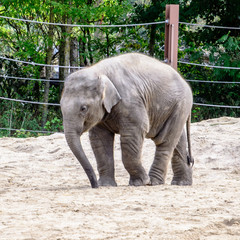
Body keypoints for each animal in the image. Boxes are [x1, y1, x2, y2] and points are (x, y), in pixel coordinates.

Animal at [60, 52, 193, 188]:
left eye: (83, 108)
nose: (95, 185)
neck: (98, 70)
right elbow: (100, 139)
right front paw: (106, 185)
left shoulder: (130, 101)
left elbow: (132, 134)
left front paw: (141, 182)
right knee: (178, 140)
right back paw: (181, 183)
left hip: (180, 104)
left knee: (164, 141)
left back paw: (154, 182)